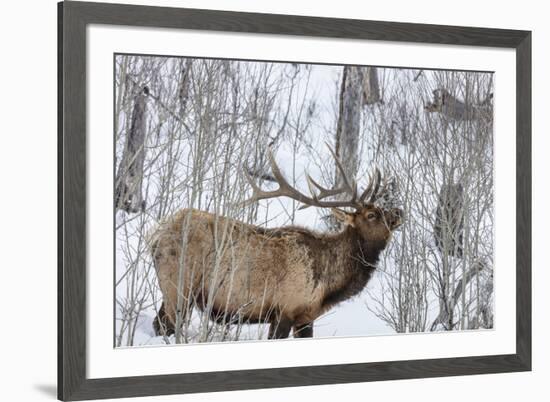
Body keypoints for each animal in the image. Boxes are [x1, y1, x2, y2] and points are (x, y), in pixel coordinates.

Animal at [149, 148, 404, 340]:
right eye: (371, 215)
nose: (399, 212)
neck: (328, 285)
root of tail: (156, 234)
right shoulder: (285, 308)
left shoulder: (305, 317)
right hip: (178, 285)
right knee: (165, 326)